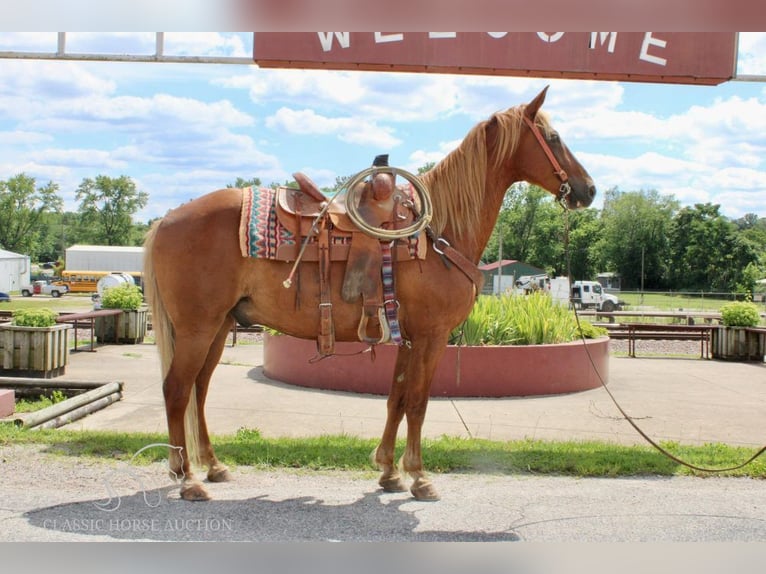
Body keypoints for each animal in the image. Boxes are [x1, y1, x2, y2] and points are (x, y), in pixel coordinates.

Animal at [146, 86, 600, 504]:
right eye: (554, 137)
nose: (590, 189)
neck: (440, 231)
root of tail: (166, 219)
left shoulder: (408, 336)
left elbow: (396, 399)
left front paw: (388, 471)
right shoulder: (432, 336)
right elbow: (417, 401)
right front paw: (419, 477)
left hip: (219, 326)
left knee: (199, 390)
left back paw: (213, 466)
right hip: (197, 328)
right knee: (177, 390)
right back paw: (186, 478)